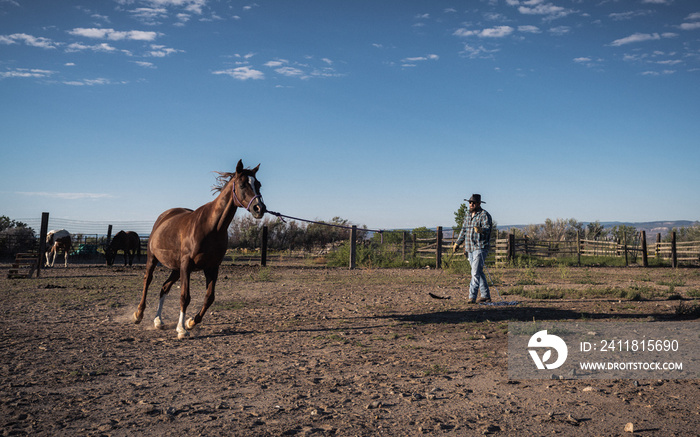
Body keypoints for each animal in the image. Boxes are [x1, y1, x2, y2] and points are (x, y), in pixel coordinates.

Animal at [133, 159, 266, 338]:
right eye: (243, 184)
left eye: (258, 184)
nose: (260, 208)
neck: (212, 227)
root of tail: (164, 217)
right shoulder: (187, 265)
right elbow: (185, 296)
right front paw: (181, 329)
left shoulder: (212, 267)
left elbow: (209, 297)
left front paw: (190, 322)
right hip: (154, 259)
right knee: (147, 280)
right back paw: (139, 314)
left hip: (176, 268)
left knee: (164, 287)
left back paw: (158, 321)